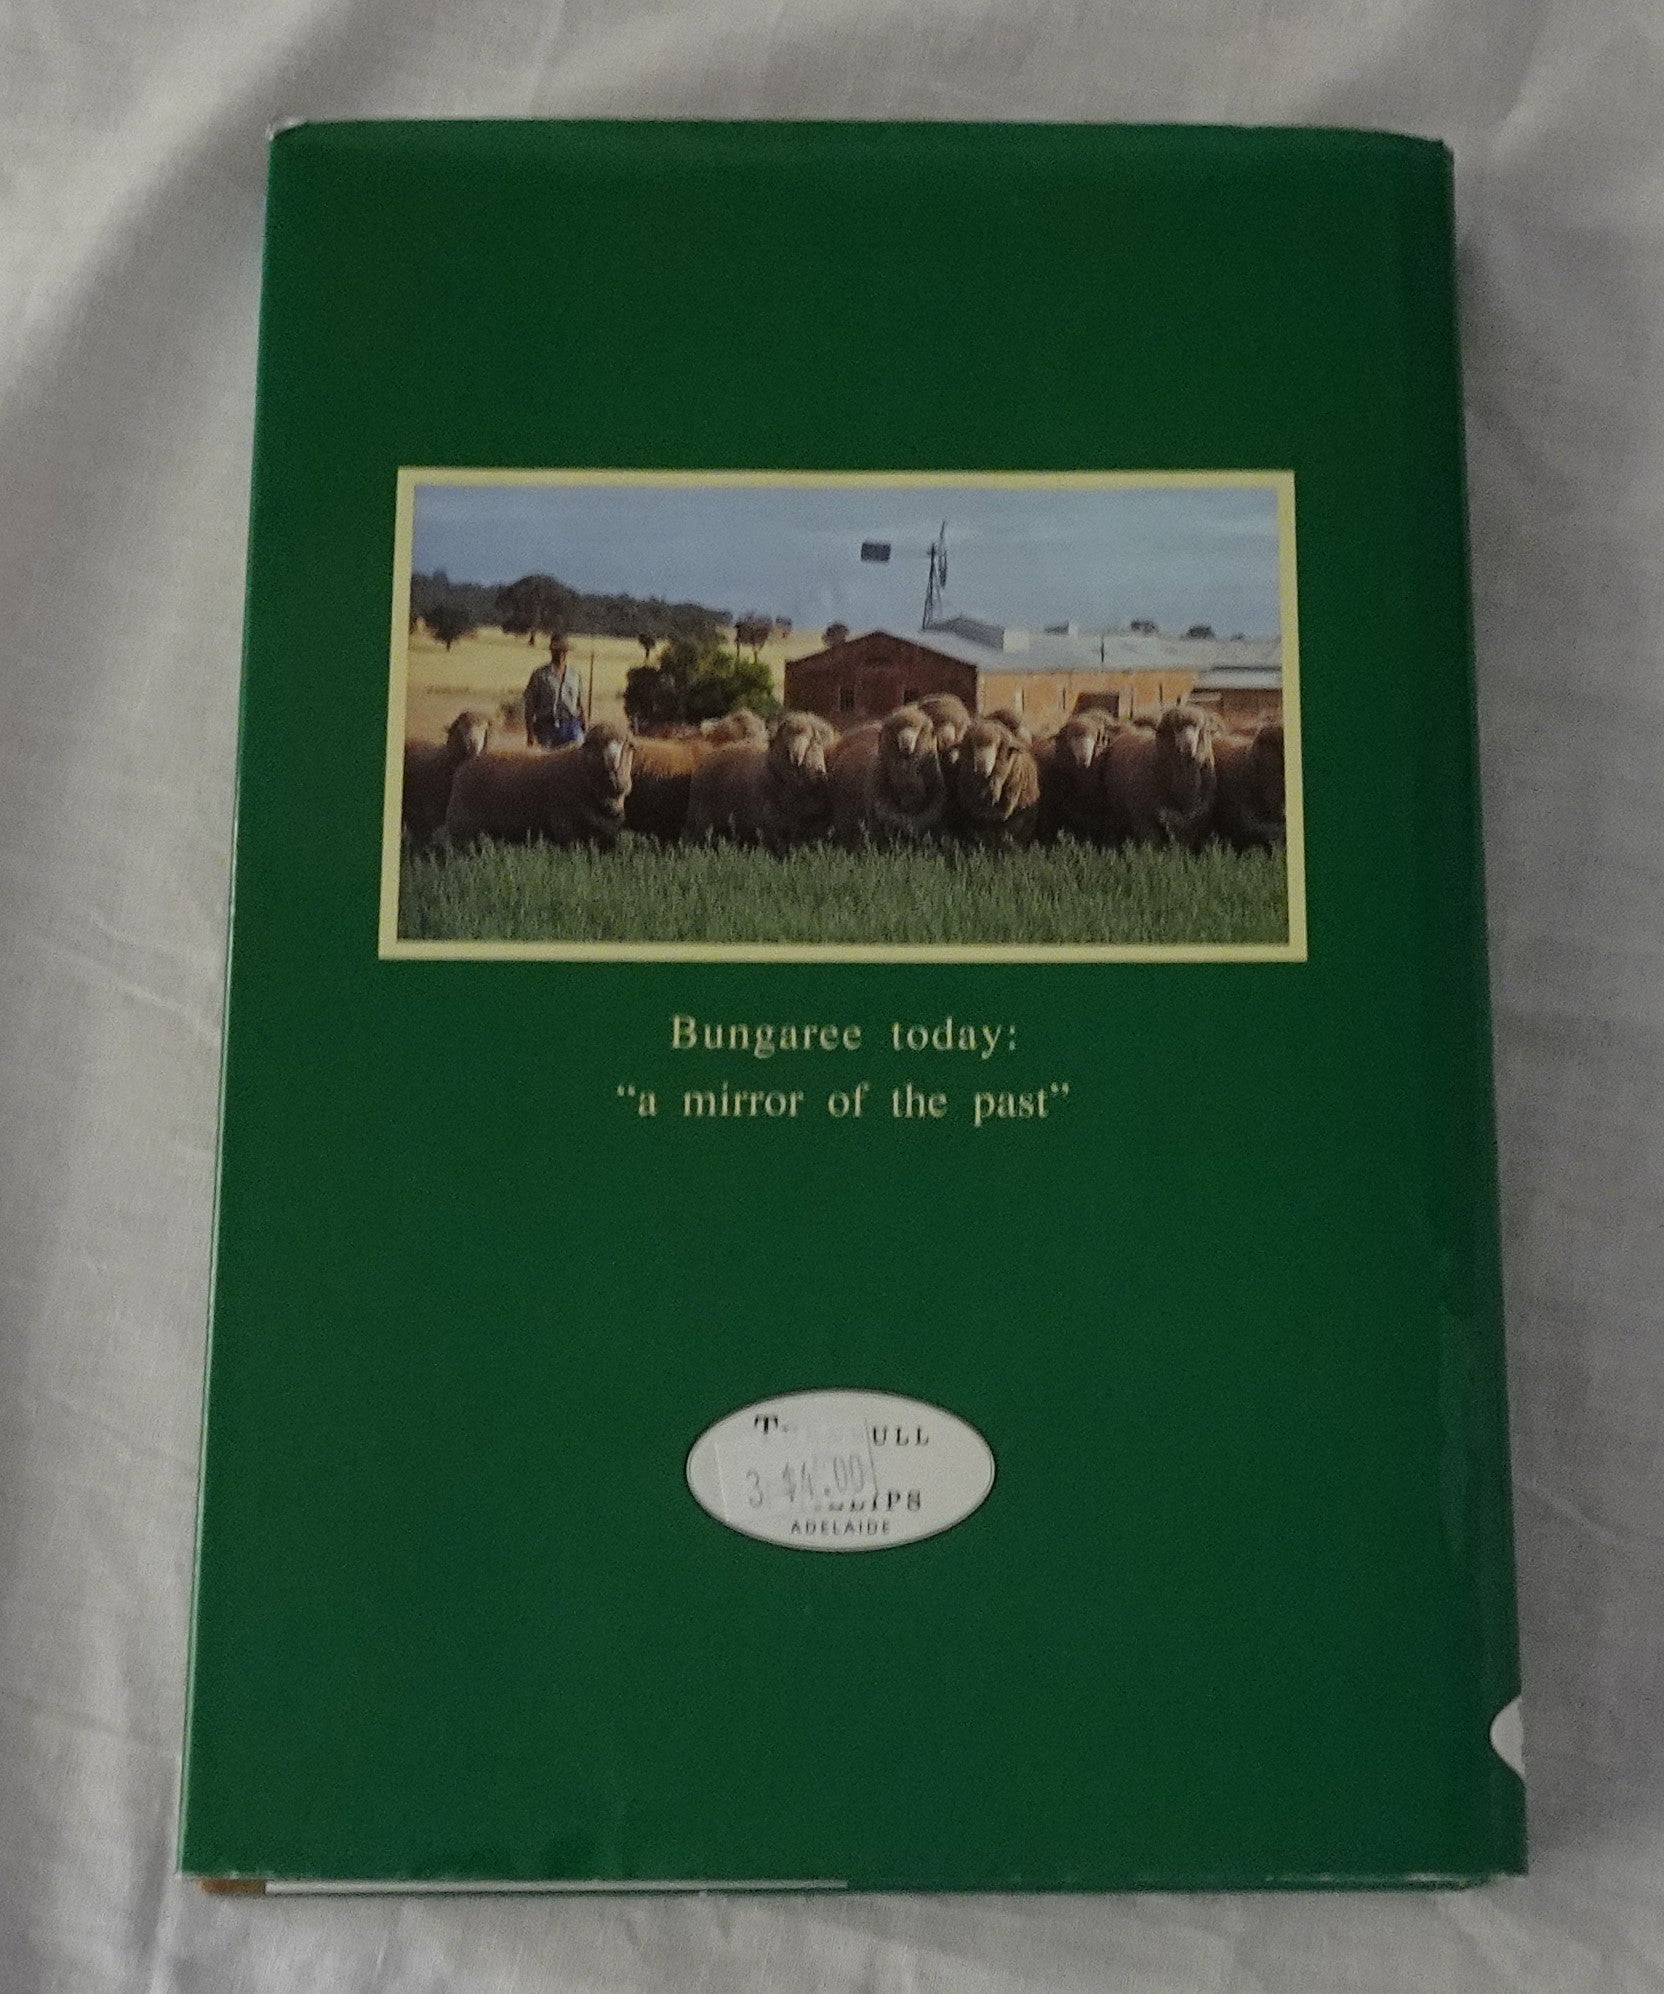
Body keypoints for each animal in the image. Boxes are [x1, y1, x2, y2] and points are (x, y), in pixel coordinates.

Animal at [446, 719, 633, 848]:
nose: (612, 764)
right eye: (594, 744)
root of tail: (467, 764)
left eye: (629, 745)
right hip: (463, 830)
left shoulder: (604, 836)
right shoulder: (566, 831)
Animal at [1099, 703, 1217, 849]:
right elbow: (1152, 846)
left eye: (1198, 727)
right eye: (1175, 728)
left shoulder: (1192, 823)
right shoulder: (1144, 819)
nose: (1188, 746)